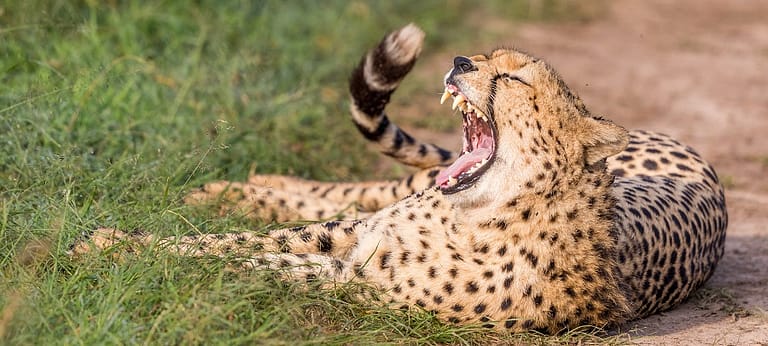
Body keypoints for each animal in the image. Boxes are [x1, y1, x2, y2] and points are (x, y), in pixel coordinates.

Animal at [72, 24, 728, 332]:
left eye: (514, 78)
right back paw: (239, 186)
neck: (481, 214)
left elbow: (251, 264)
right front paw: (113, 241)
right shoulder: (351, 236)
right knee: (345, 189)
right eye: (485, 57)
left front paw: (122, 257)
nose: (461, 62)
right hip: (397, 191)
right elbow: (232, 243)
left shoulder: (359, 279)